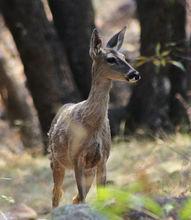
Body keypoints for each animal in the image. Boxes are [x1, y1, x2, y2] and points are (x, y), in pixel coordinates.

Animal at [47, 26, 140, 207]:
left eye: (124, 56)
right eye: (111, 59)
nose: (135, 74)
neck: (92, 124)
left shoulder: (102, 158)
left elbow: (98, 196)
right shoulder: (76, 157)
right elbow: (82, 197)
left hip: (88, 169)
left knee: (74, 197)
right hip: (56, 161)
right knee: (57, 194)